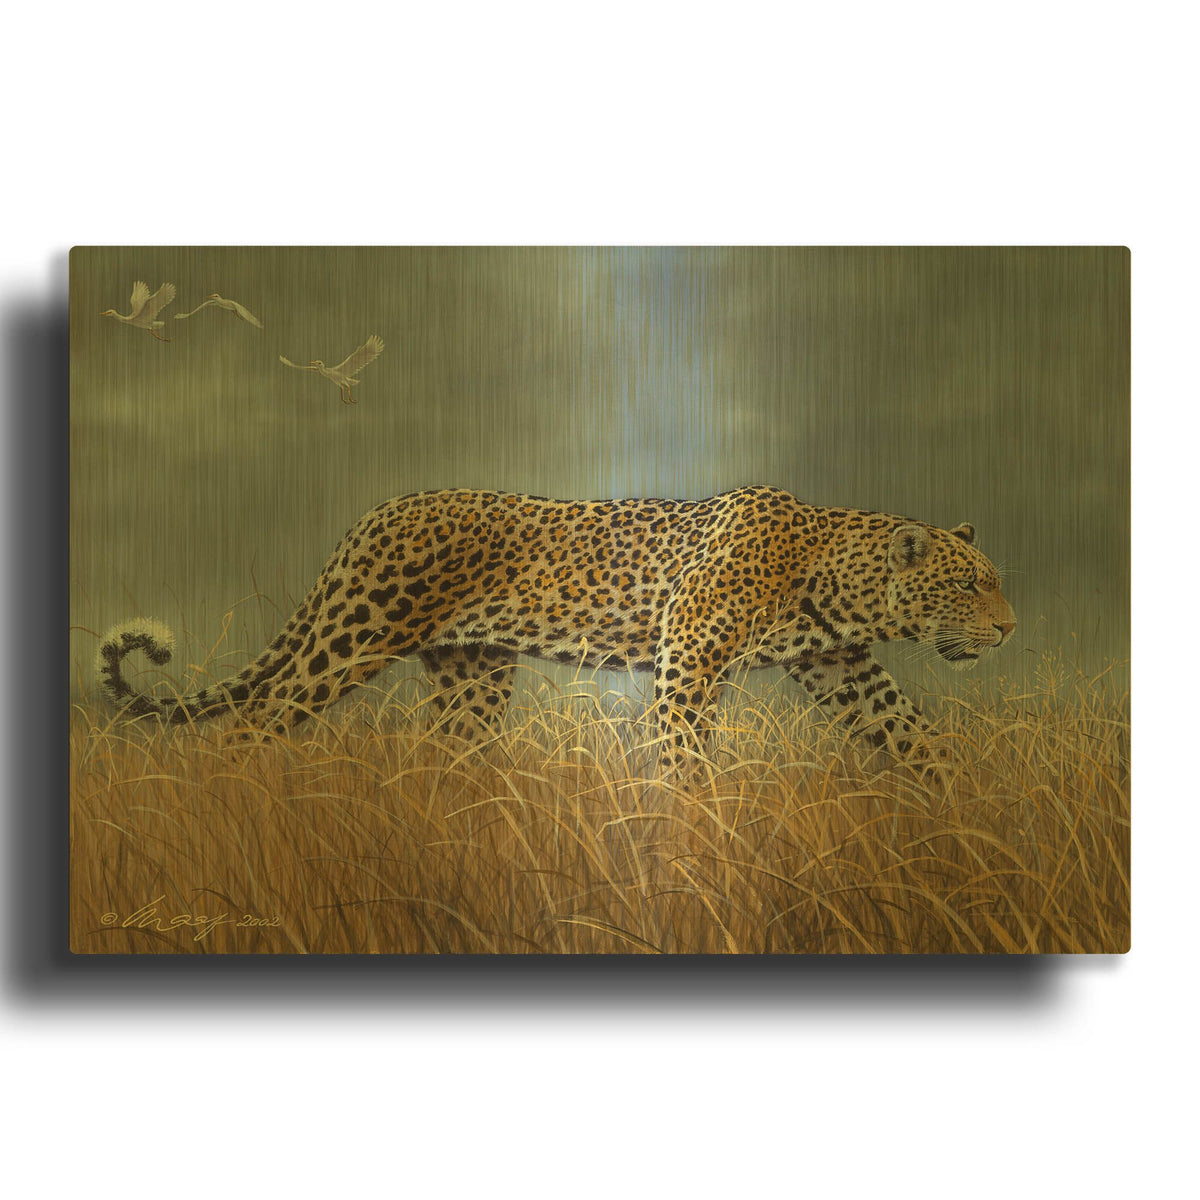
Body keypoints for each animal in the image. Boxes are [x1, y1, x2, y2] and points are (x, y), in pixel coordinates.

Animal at [97, 486, 1016, 776]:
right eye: (970, 585)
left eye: (995, 581)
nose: (1009, 630)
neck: (834, 579)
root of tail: (374, 515)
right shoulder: (688, 661)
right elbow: (683, 756)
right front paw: (693, 834)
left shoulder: (845, 667)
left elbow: (912, 735)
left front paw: (961, 812)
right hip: (352, 639)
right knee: (255, 721)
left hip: (473, 673)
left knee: (447, 751)